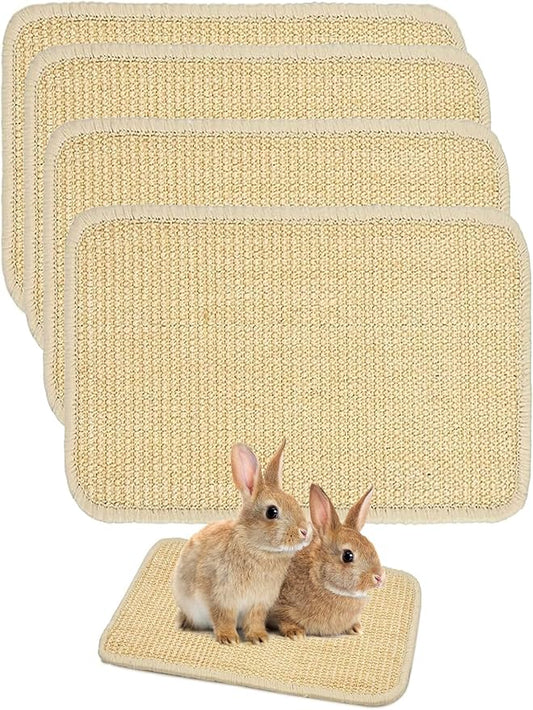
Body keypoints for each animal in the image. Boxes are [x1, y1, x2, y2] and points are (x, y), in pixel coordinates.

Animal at [172, 440, 310, 644]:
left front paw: (259, 638)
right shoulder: (222, 598)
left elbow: (254, 620)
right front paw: (229, 638)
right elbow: (224, 618)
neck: (256, 547)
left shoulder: (258, 603)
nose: (305, 531)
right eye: (272, 512)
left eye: (294, 501)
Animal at [268, 484, 384, 638]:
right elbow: (283, 619)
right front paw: (295, 632)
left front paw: (356, 628)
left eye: (371, 546)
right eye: (348, 556)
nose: (379, 577)